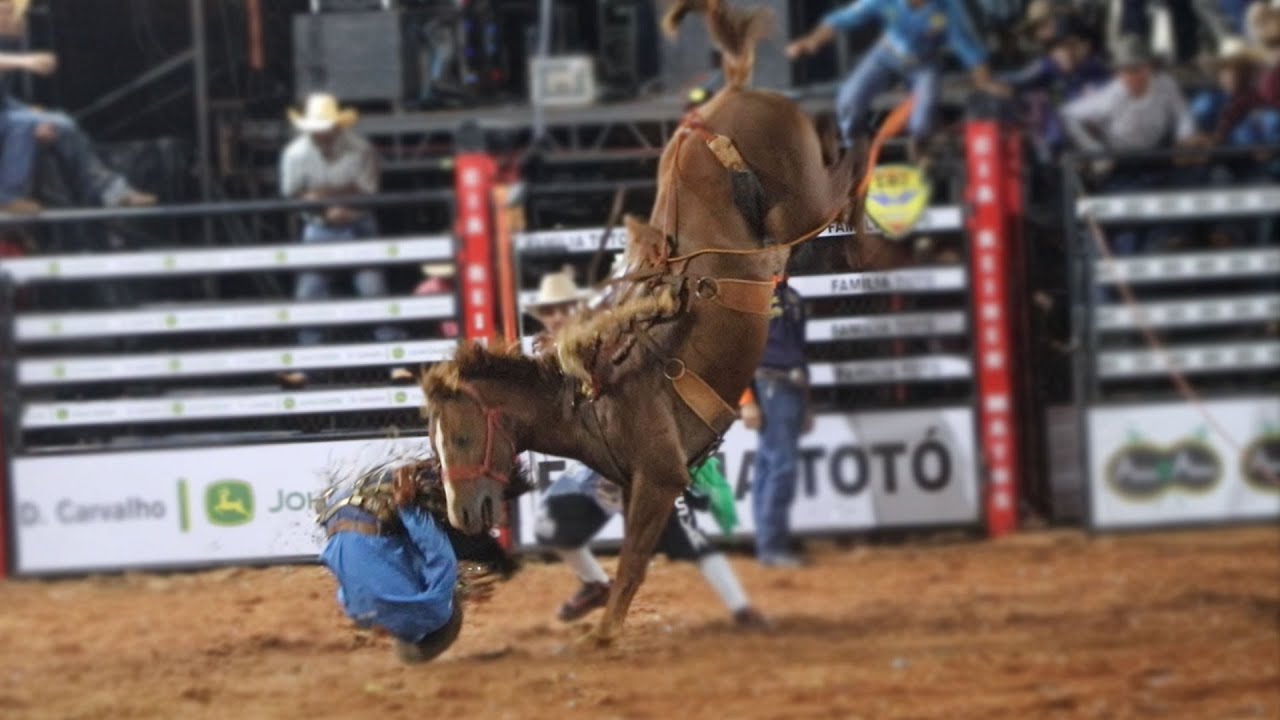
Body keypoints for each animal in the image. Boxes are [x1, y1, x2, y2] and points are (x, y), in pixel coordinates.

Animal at [424, 0, 865, 640]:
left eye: (459, 436)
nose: (463, 514)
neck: (588, 394)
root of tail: (719, 102)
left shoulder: (658, 480)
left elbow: (633, 560)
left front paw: (605, 633)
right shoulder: (649, 482)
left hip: (801, 198)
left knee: (846, 170)